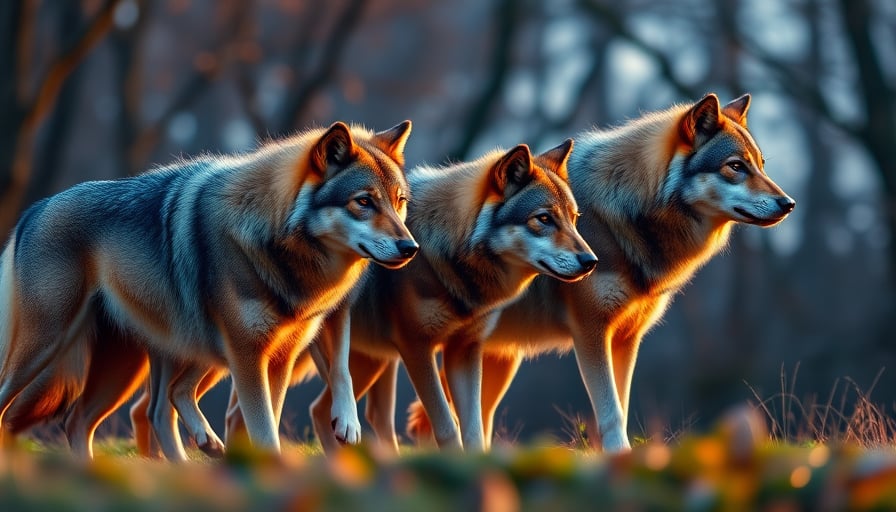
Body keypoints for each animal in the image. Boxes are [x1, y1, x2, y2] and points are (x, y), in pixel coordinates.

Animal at [0, 120, 418, 459]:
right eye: (363, 202)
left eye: (399, 203)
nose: (410, 248)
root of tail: (35, 209)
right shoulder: (249, 355)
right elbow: (264, 428)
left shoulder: (282, 354)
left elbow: (309, 390)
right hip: (46, 347)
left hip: (146, 362)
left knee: (95, 418)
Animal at [305, 140, 598, 453]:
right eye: (544, 218)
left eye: (573, 219)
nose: (591, 261)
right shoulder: (416, 346)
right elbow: (447, 426)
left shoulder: (464, 349)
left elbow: (474, 430)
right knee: (323, 410)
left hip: (377, 359)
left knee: (366, 414)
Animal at [402, 94, 794, 452]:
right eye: (736, 166)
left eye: (761, 165)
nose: (788, 204)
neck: (624, 213)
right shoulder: (590, 331)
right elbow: (611, 413)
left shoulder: (626, 337)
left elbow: (622, 404)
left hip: (496, 359)